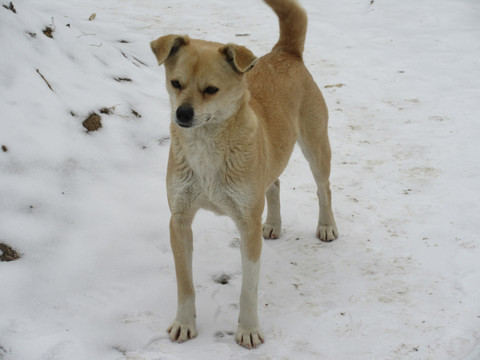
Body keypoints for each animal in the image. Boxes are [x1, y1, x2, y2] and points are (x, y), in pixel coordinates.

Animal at [150, 0, 338, 350]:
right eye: (175, 83)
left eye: (211, 89)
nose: (182, 114)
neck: (207, 147)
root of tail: (284, 52)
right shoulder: (179, 220)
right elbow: (185, 284)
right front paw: (184, 323)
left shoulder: (247, 224)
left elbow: (248, 288)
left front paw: (248, 329)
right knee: (274, 184)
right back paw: (274, 223)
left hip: (316, 146)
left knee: (324, 189)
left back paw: (326, 226)